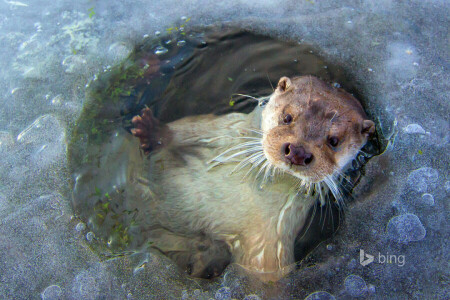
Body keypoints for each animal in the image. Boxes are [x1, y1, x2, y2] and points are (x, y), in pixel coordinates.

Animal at [129, 75, 372, 282]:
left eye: (334, 140)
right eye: (287, 117)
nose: (298, 152)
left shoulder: (273, 237)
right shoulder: (225, 127)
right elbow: (189, 127)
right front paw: (152, 130)